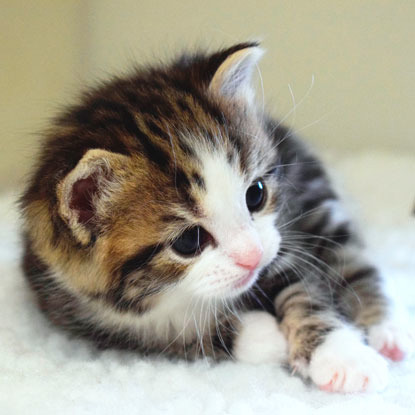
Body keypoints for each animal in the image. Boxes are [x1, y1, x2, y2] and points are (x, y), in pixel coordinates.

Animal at [21, 41, 414, 394]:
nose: (252, 257)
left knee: (349, 257)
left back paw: (388, 330)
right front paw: (263, 336)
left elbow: (305, 288)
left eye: (256, 194)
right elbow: (164, 338)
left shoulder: (284, 242)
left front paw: (344, 358)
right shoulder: (74, 311)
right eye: (188, 240)